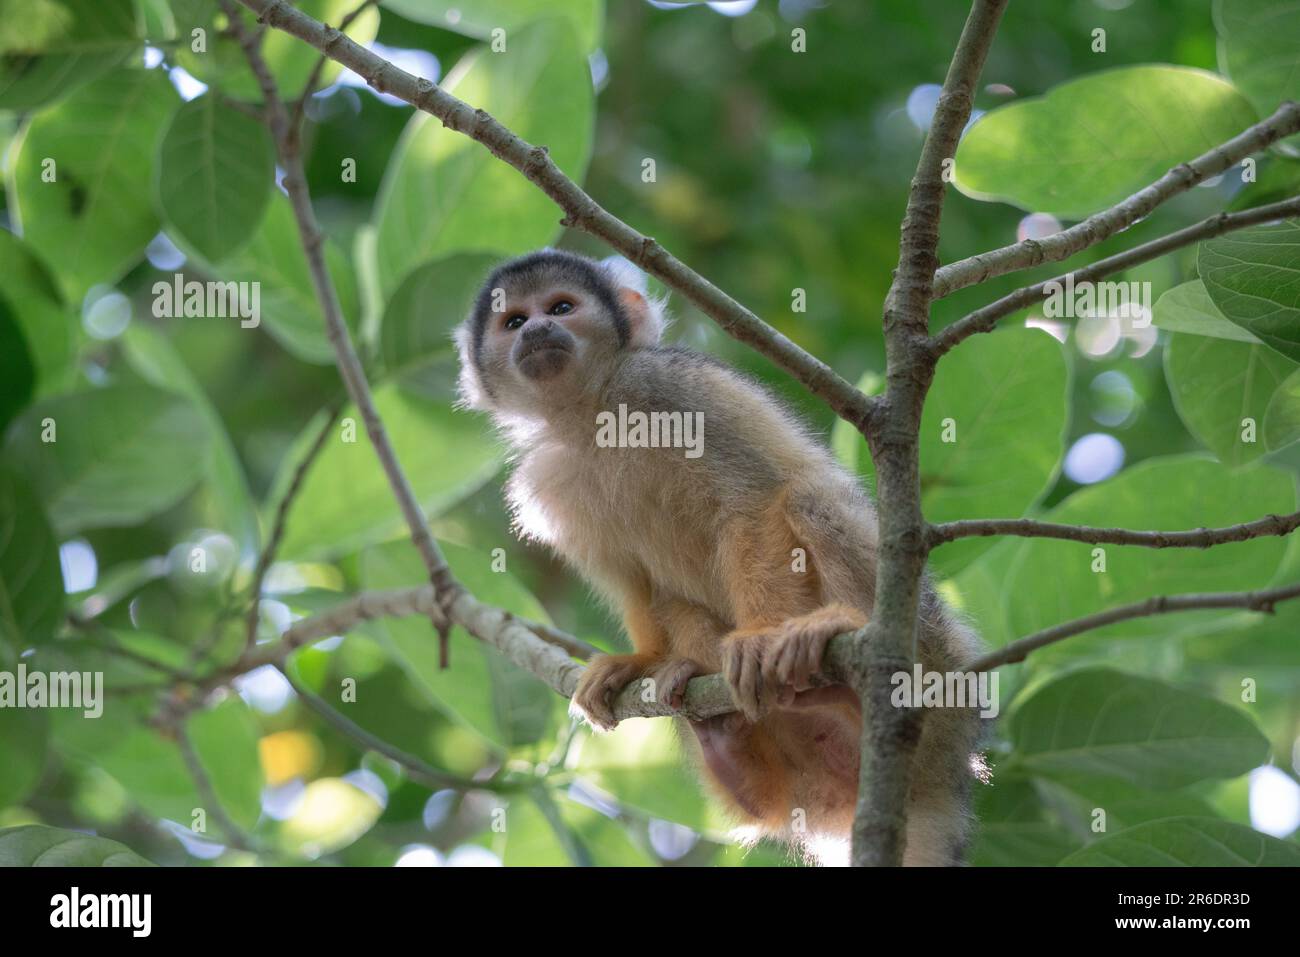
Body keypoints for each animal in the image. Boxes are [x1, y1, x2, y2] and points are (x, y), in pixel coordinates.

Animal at [457, 250, 982, 863]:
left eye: (561, 307)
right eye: (513, 320)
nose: (538, 329)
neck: (591, 412)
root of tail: (933, 785)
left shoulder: (667, 389)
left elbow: (751, 505)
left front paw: (761, 636)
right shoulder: (547, 479)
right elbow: (630, 578)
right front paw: (640, 659)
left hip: (939, 657)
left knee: (807, 495)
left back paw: (838, 638)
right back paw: (731, 737)